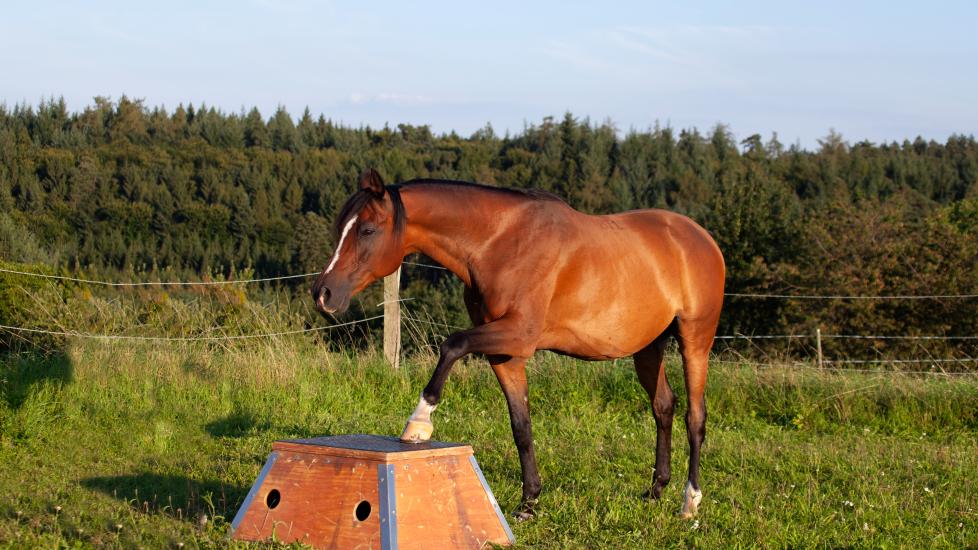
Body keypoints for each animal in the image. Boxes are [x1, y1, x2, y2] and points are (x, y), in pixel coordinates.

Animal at [312, 170, 724, 520]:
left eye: (367, 229)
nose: (323, 293)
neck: (499, 243)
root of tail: (702, 238)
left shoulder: (518, 335)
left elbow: (452, 345)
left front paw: (419, 423)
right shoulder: (504, 354)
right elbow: (521, 427)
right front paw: (528, 503)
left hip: (695, 341)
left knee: (695, 417)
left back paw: (690, 502)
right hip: (648, 347)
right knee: (663, 407)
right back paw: (655, 490)